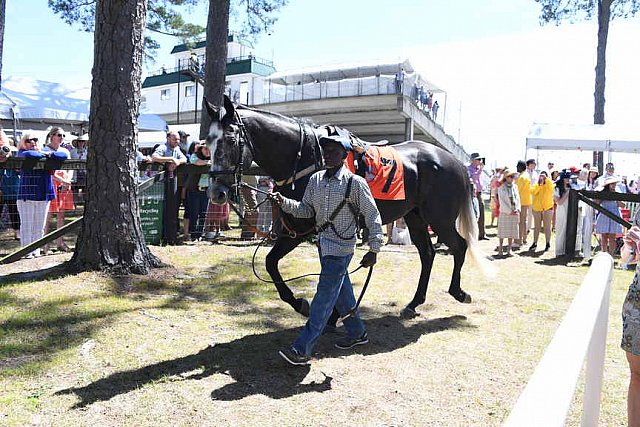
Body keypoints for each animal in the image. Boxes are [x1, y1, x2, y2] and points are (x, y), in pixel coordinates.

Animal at [205, 95, 484, 320]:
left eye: (230, 139)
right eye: (208, 142)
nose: (216, 192)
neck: (307, 157)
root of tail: (454, 161)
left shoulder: (311, 230)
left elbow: (325, 271)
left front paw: (326, 312)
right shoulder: (295, 228)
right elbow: (271, 262)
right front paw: (301, 303)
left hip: (440, 218)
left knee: (459, 246)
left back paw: (458, 292)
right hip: (415, 218)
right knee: (427, 254)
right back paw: (414, 303)